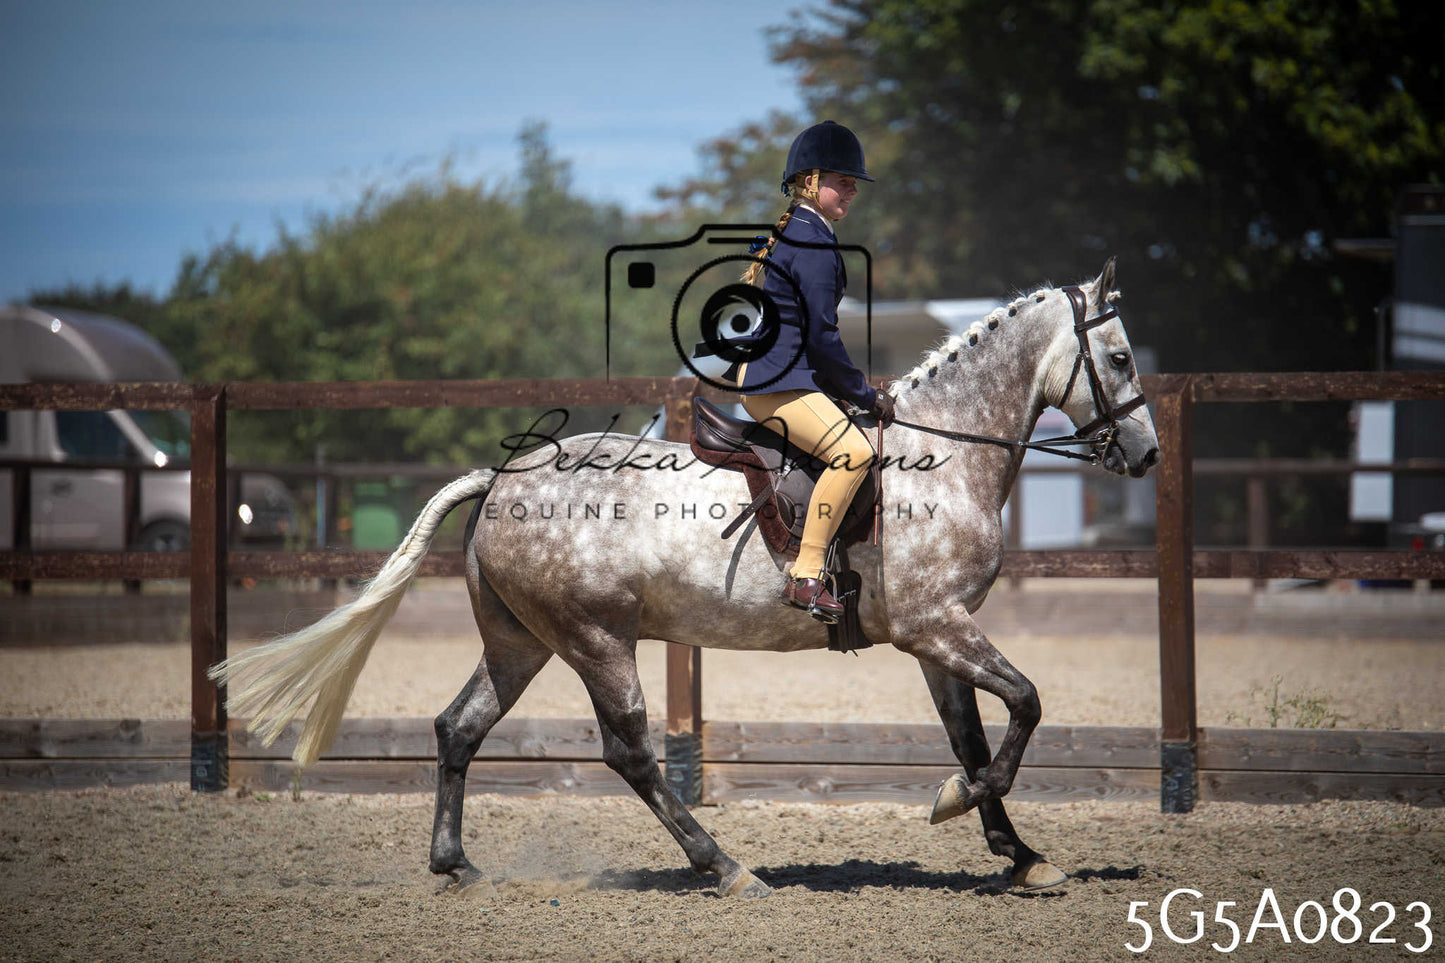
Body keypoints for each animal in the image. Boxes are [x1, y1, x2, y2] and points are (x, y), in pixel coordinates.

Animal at [210, 259, 1159, 898]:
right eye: (1118, 360)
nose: (1146, 455)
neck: (945, 455)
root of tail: (503, 478)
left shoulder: (935, 635)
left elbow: (972, 730)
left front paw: (1020, 854)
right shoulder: (937, 626)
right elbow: (1025, 704)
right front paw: (957, 805)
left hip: (521, 642)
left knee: (458, 727)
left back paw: (455, 864)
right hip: (599, 641)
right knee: (630, 751)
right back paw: (725, 865)